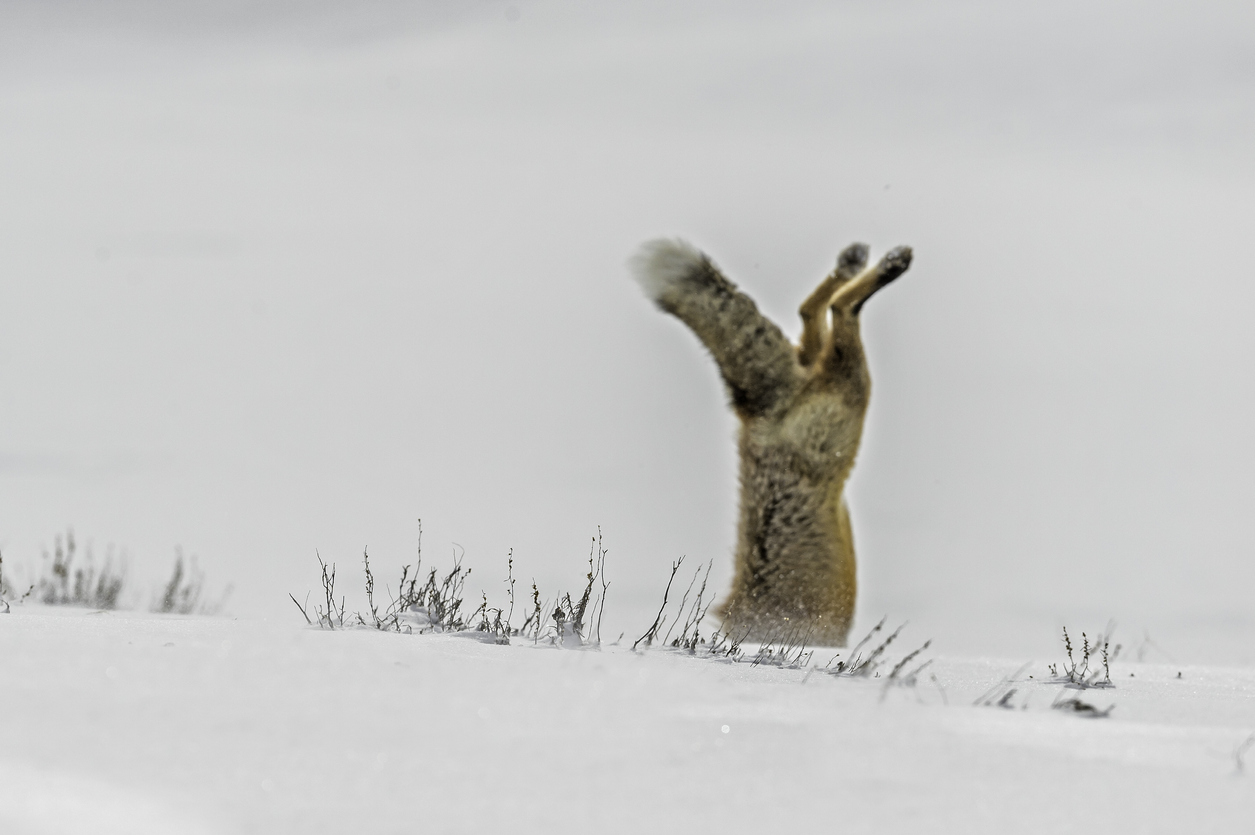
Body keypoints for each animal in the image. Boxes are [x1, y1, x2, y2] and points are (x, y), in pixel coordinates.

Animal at [627, 237, 913, 647]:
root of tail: (759, 417)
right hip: (849, 401)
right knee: (836, 310)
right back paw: (888, 266)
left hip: (832, 384)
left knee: (813, 315)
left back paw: (857, 263)